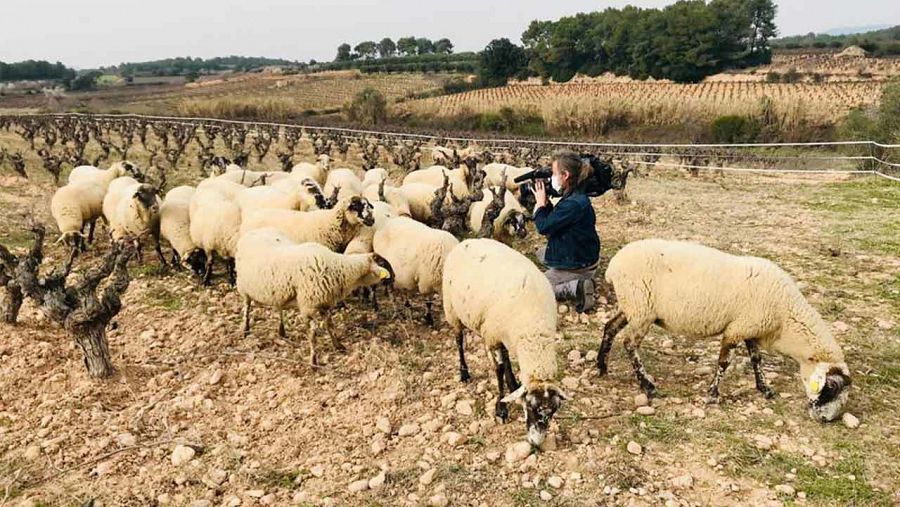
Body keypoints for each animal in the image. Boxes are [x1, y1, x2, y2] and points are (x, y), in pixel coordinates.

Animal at [237, 229, 392, 366]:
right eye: (382, 263)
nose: (392, 279)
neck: (338, 268)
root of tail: (253, 232)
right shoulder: (308, 306)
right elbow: (312, 334)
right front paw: (313, 361)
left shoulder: (324, 303)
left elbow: (330, 325)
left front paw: (338, 345)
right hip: (243, 287)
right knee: (246, 307)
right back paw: (245, 330)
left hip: (277, 290)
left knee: (278, 307)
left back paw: (281, 331)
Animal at [444, 238, 568, 444]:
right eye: (531, 406)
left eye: (553, 411)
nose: (536, 442)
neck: (534, 332)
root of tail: (466, 241)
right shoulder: (492, 337)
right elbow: (499, 369)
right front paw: (500, 410)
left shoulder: (507, 336)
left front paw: (513, 386)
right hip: (452, 310)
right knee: (459, 340)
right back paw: (464, 372)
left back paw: (513, 383)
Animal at [596, 240, 852, 422]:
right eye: (831, 387)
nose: (825, 419)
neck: (785, 317)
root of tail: (613, 266)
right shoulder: (736, 330)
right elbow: (724, 362)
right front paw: (713, 395)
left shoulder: (750, 328)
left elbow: (756, 359)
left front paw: (765, 388)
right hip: (641, 309)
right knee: (630, 344)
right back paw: (647, 385)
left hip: (632, 307)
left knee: (610, 328)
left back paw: (601, 367)